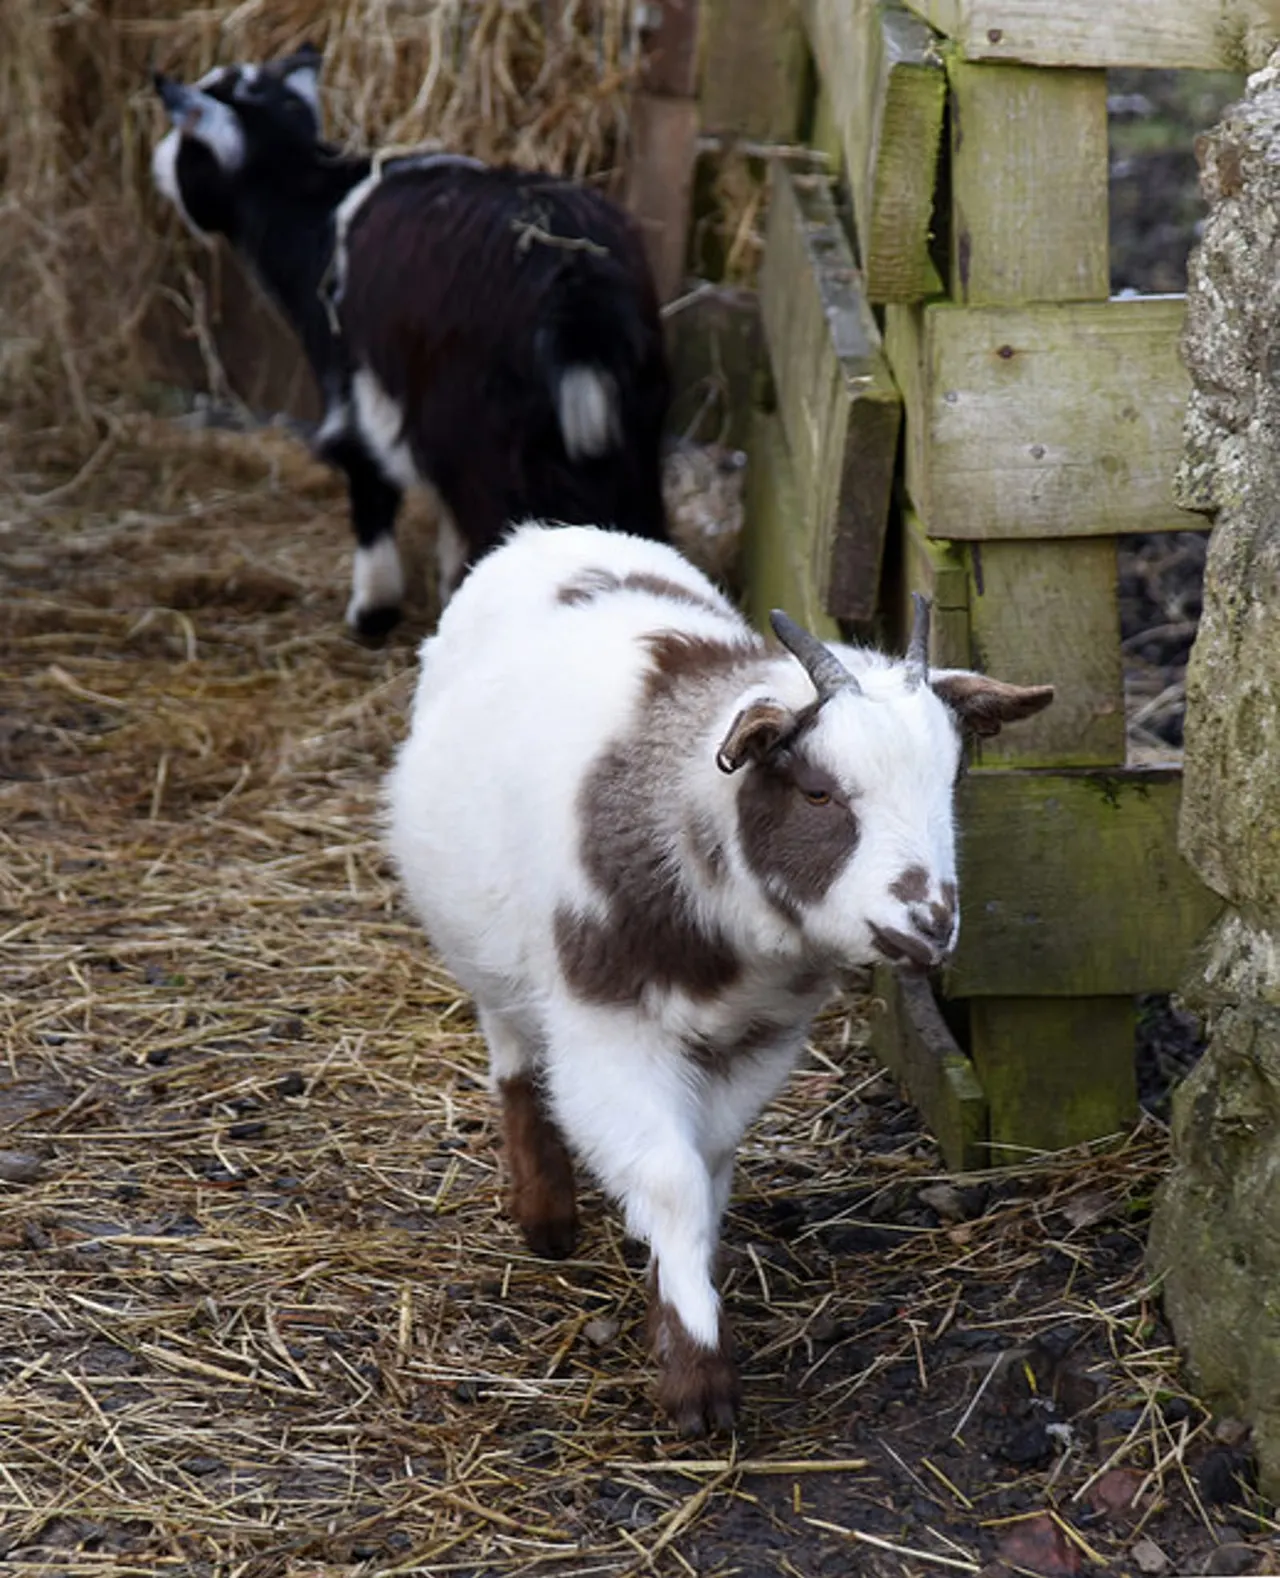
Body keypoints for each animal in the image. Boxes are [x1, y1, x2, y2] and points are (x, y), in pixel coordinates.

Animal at [149, 46, 671, 637]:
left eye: (185, 137)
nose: (159, 165)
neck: (309, 206)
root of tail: (578, 283)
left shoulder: (356, 386)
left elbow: (369, 481)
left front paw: (371, 611)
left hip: (480, 430)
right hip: (632, 423)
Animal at [385, 523, 1055, 1433]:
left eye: (951, 779)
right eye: (817, 791)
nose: (928, 921)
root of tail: (549, 533)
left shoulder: (760, 1035)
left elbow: (704, 1165)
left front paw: (680, 1291)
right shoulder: (607, 1027)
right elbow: (667, 1175)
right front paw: (698, 1379)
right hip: (482, 944)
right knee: (514, 1054)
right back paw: (545, 1217)